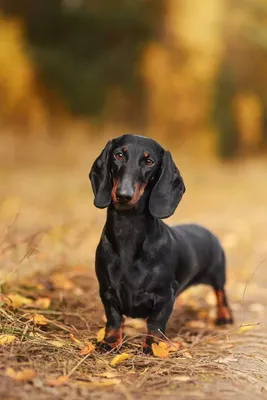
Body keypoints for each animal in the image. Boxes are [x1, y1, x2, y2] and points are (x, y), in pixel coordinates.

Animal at [89, 134, 233, 354]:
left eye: (149, 161)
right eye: (118, 155)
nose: (123, 195)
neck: (128, 230)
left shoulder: (164, 295)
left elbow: (155, 323)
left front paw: (153, 347)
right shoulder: (106, 290)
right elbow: (113, 319)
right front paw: (110, 342)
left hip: (218, 274)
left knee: (221, 295)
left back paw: (225, 317)